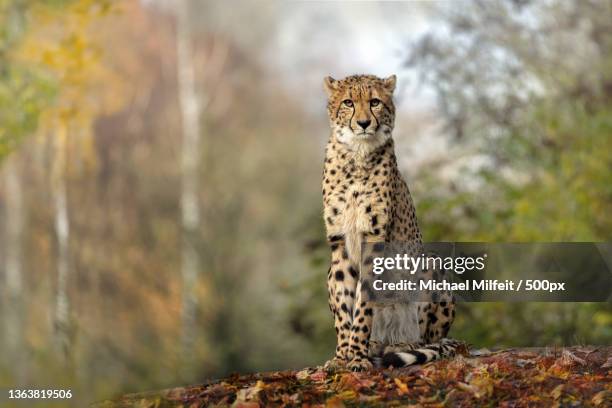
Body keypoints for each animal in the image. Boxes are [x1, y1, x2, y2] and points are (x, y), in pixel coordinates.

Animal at [320, 75, 464, 372]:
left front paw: (357, 357)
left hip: (430, 265)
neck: (357, 155)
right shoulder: (339, 243)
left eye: (375, 102)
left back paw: (401, 346)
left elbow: (363, 303)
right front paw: (342, 356)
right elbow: (344, 305)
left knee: (425, 339)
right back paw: (377, 344)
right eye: (348, 103)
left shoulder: (374, 240)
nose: (364, 123)